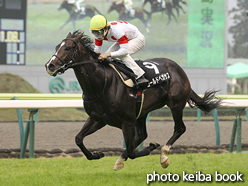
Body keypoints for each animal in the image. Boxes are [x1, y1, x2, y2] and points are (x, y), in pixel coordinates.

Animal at [45, 30, 222, 170]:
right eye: (56, 47)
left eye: (67, 48)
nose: (49, 66)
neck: (102, 83)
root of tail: (180, 69)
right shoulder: (98, 119)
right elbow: (78, 139)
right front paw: (97, 154)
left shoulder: (127, 121)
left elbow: (131, 151)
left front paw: (151, 147)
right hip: (142, 111)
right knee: (142, 135)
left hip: (176, 104)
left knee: (179, 129)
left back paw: (163, 156)